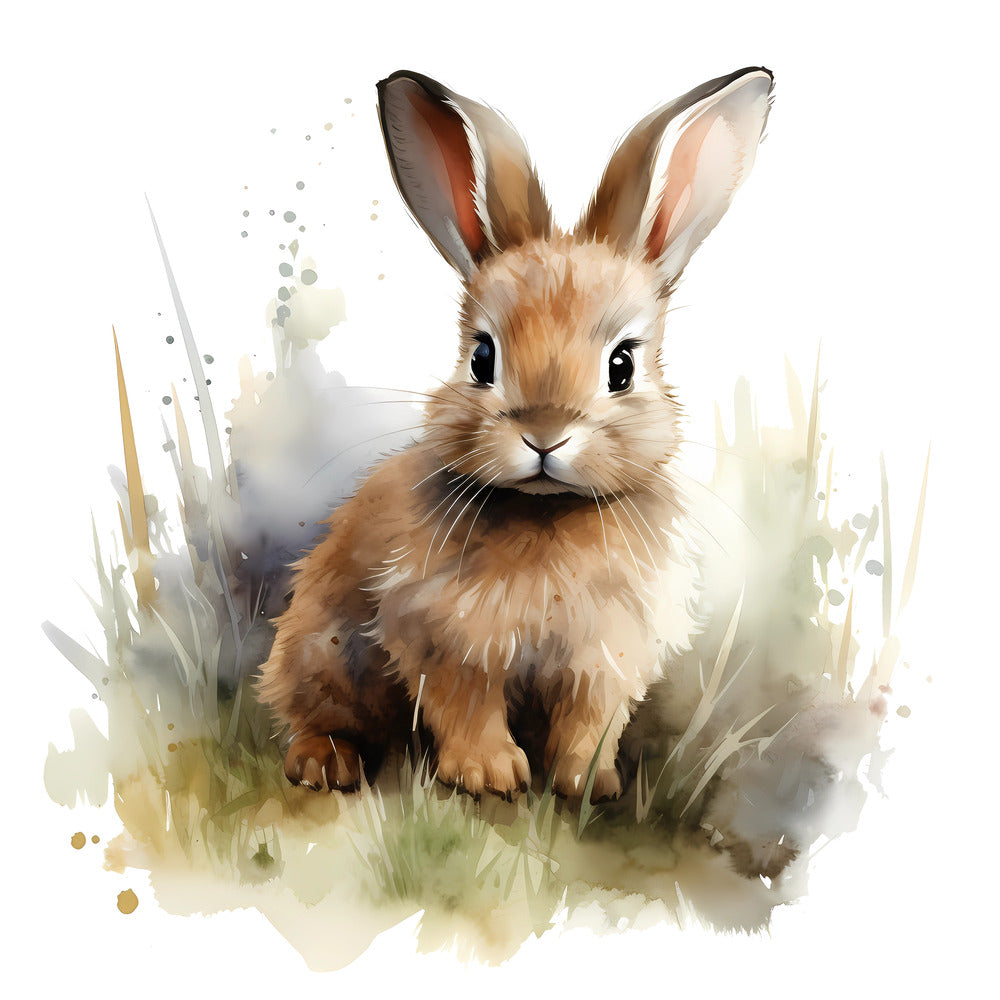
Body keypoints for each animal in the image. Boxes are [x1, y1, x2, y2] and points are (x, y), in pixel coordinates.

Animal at [257, 67, 774, 804]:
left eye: (623, 365)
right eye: (481, 357)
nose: (545, 436)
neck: (547, 513)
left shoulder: (606, 652)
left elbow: (592, 718)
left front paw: (588, 782)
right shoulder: (445, 635)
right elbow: (465, 703)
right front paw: (489, 775)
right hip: (318, 653)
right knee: (314, 715)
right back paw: (326, 763)